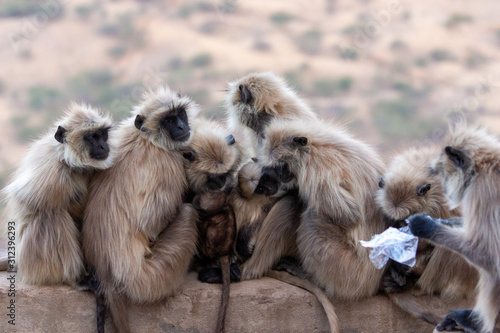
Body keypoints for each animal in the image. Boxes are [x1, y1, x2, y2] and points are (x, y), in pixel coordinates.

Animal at [2, 102, 115, 284]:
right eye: (91, 137)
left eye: (102, 135)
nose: (103, 146)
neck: (74, 164)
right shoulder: (52, 170)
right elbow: (28, 202)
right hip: (30, 260)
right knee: (50, 215)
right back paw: (75, 279)